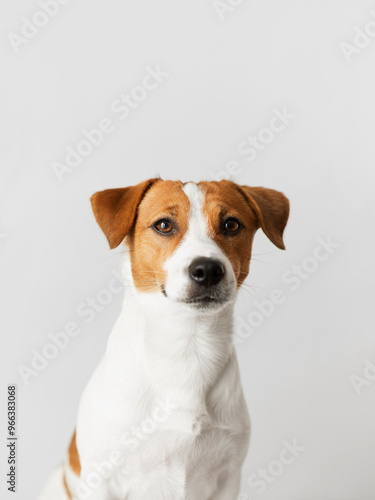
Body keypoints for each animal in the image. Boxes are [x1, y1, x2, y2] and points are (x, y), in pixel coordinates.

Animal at [38, 180, 290, 500]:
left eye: (231, 224)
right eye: (164, 225)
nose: (208, 269)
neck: (187, 346)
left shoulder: (228, 476)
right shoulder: (101, 478)